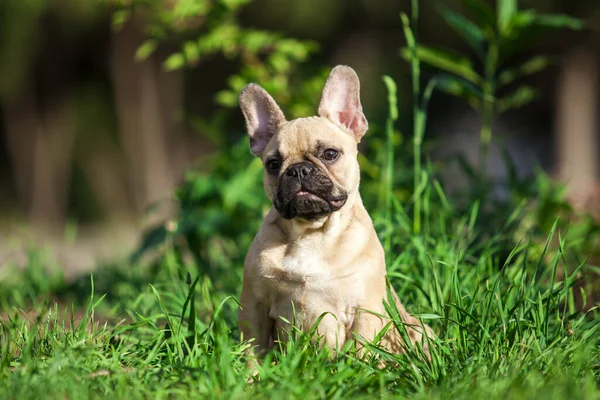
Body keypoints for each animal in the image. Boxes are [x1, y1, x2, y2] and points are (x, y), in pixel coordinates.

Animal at [237, 63, 434, 366]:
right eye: (273, 164)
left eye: (330, 154)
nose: (298, 170)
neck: (311, 232)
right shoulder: (254, 306)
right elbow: (252, 349)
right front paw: (251, 375)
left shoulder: (364, 311)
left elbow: (362, 351)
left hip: (420, 328)